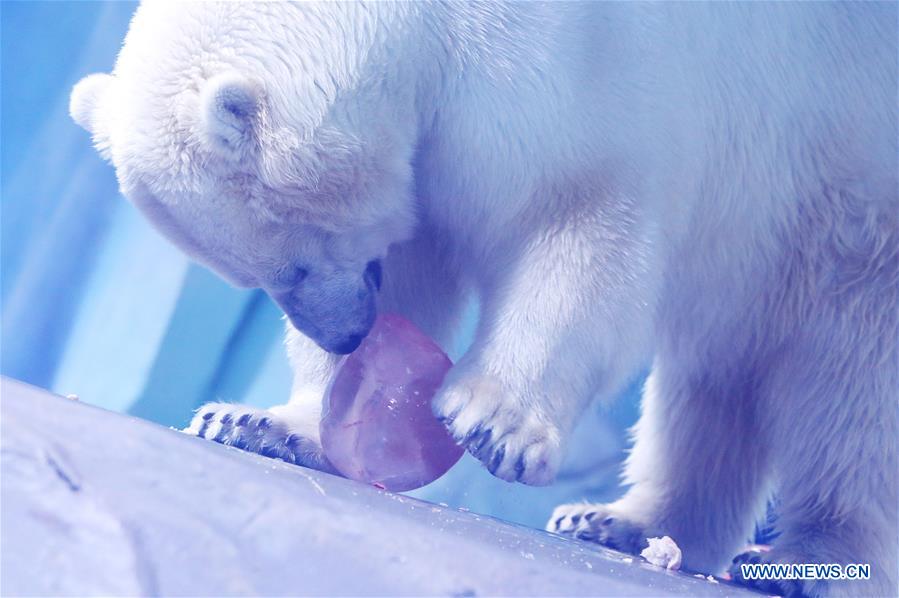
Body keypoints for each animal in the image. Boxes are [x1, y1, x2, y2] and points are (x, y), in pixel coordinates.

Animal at [70, 2, 896, 596]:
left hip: (850, 206)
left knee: (851, 394)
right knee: (716, 383)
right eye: (256, 279)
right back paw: (620, 522)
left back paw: (805, 562)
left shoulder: (580, 75)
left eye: (296, 265)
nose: (345, 336)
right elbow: (415, 265)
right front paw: (263, 420)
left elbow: (579, 228)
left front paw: (490, 422)